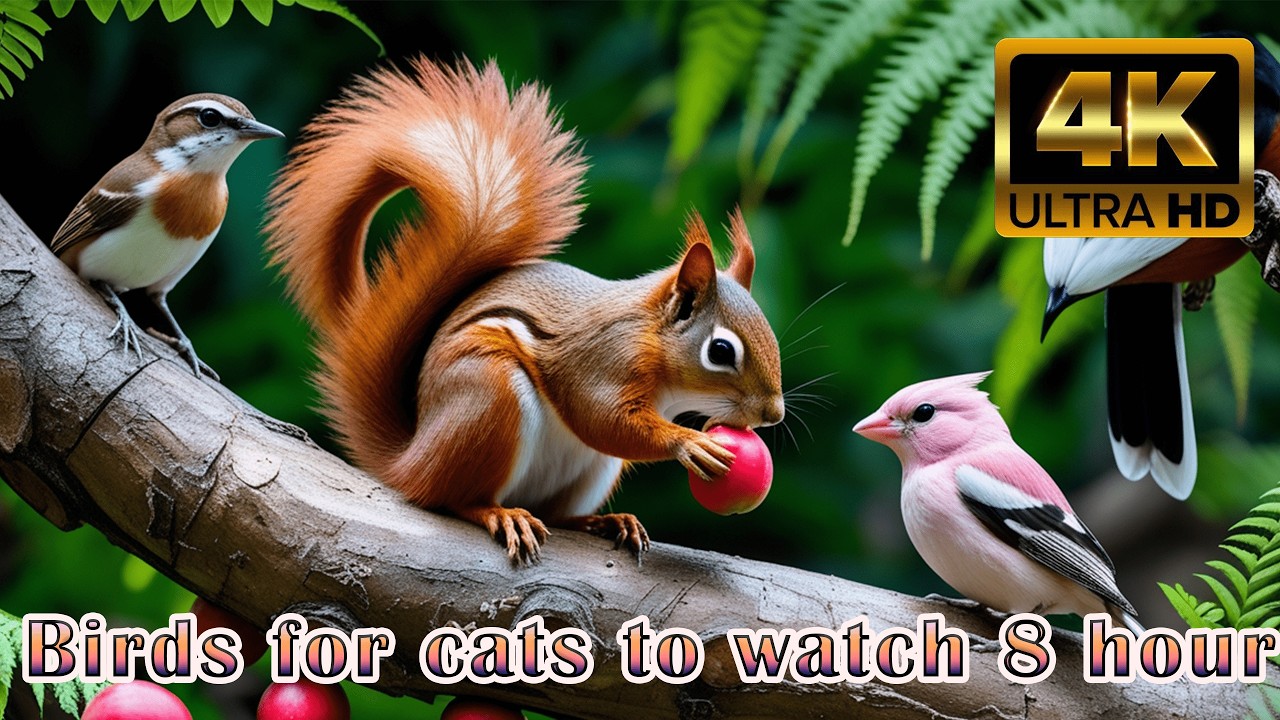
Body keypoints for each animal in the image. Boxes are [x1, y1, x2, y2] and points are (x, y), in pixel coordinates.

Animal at [265, 58, 785, 564]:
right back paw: (500, 514)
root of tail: (411, 460)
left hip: (587, 469)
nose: (773, 415)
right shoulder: (603, 359)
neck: (651, 339)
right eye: (721, 351)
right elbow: (603, 418)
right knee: (453, 500)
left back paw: (605, 521)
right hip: (488, 398)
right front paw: (688, 442)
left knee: (556, 513)